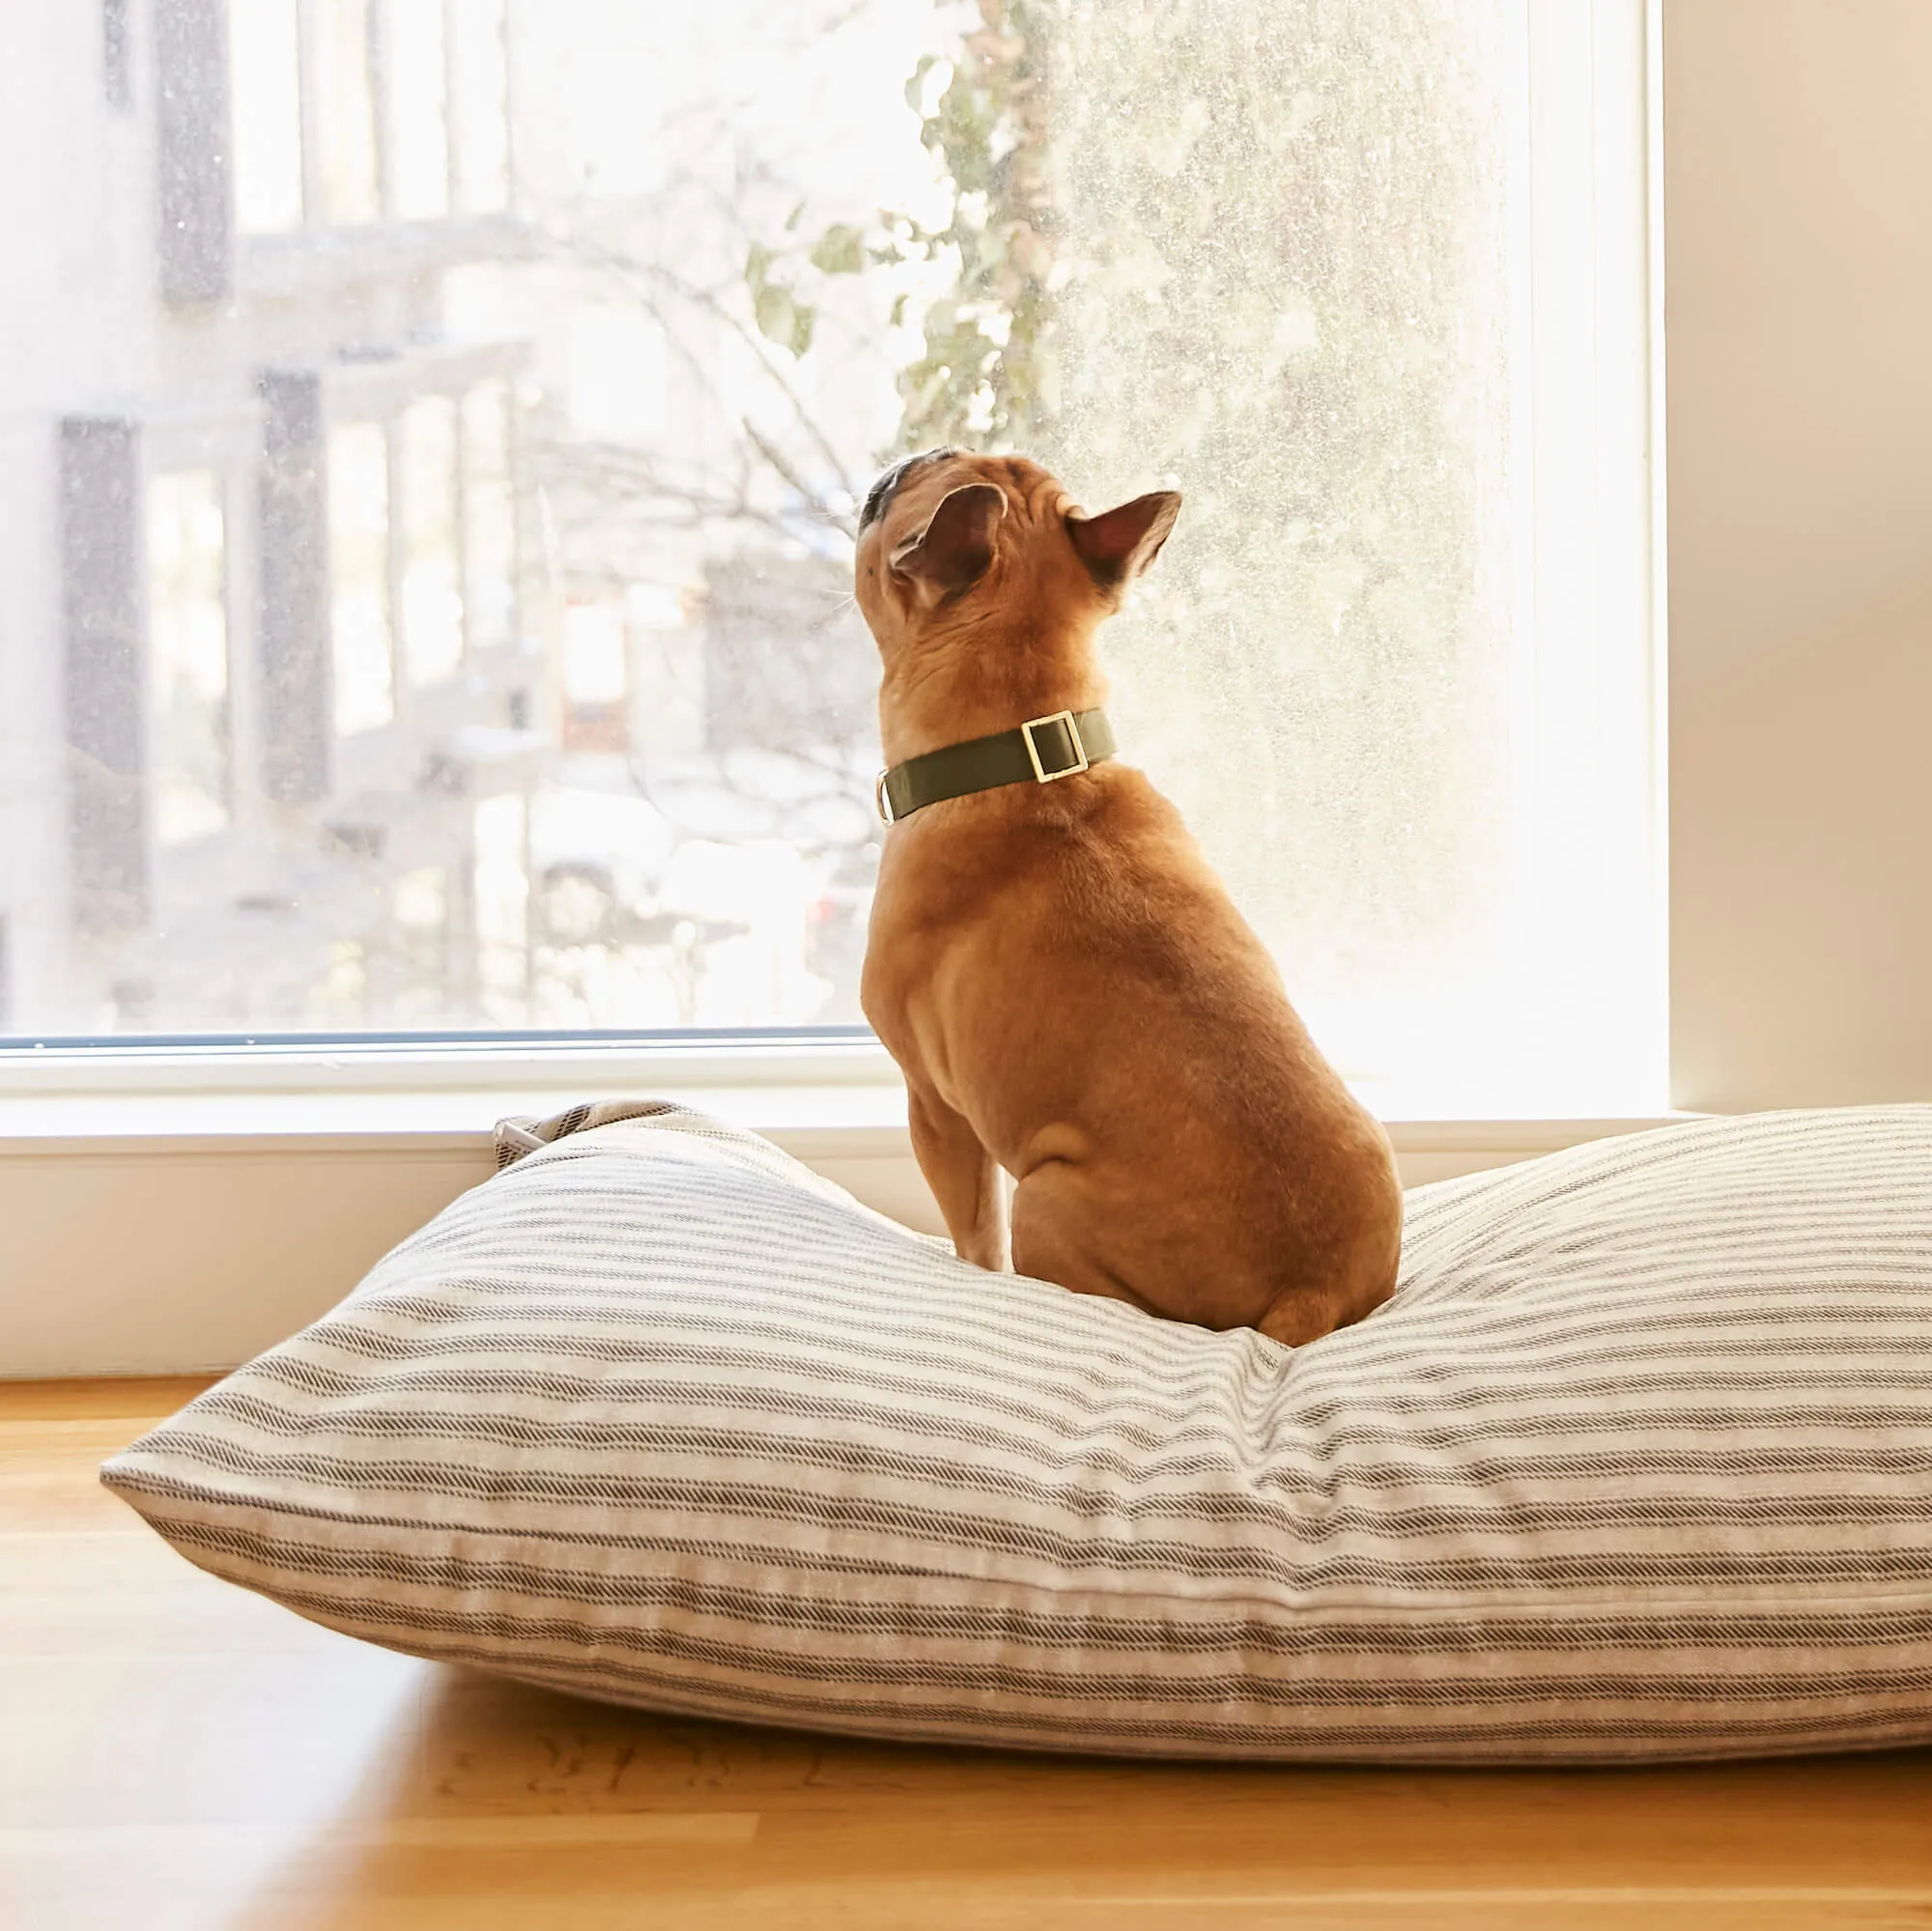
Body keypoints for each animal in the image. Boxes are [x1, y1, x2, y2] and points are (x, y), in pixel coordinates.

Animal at [854, 447, 1399, 1344]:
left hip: (1041, 1197)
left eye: (918, 476)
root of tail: (1308, 1289)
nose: (913, 455)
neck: (1029, 754)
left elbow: (975, 1238)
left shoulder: (935, 1111)